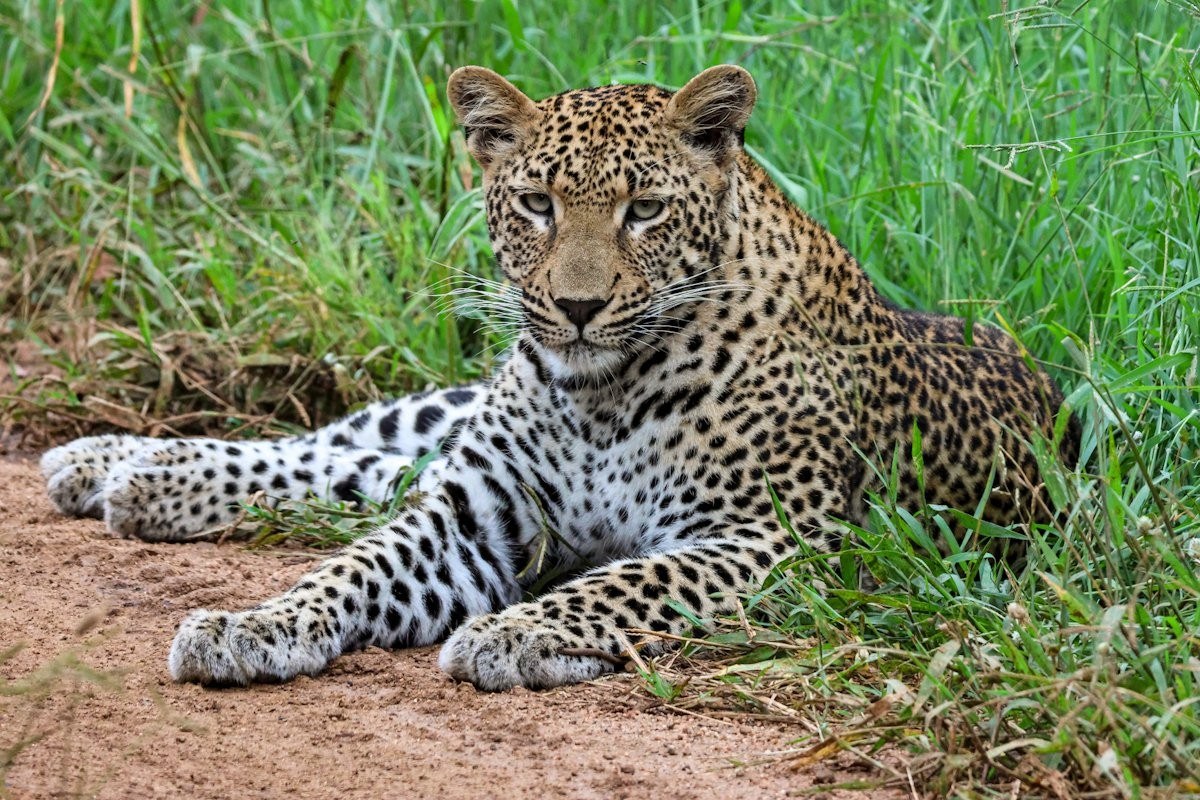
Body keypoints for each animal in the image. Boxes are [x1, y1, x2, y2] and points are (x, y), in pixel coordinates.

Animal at [41, 65, 1078, 691]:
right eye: (537, 204)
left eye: (645, 210)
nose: (577, 307)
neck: (601, 400)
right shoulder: (472, 510)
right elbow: (350, 566)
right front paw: (252, 622)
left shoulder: (774, 536)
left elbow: (630, 580)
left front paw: (514, 633)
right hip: (444, 425)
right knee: (331, 445)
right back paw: (116, 464)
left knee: (352, 468)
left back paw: (133, 479)